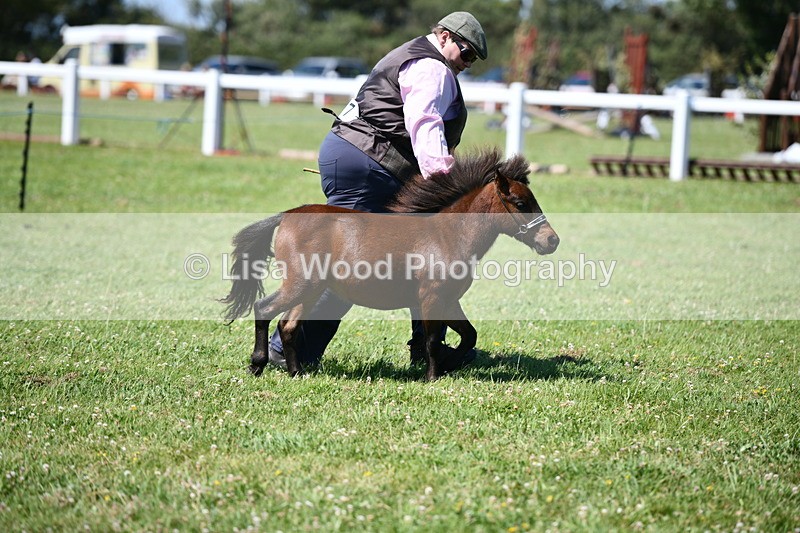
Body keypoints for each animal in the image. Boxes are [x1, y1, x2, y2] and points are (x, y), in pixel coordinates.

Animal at [221, 148, 559, 381]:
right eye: (520, 203)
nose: (551, 240)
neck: (447, 235)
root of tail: (287, 215)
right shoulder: (431, 298)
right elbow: (433, 340)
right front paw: (433, 376)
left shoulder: (450, 300)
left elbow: (468, 335)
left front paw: (450, 364)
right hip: (300, 285)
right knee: (264, 309)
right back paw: (257, 365)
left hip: (311, 290)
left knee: (288, 325)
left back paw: (297, 372)